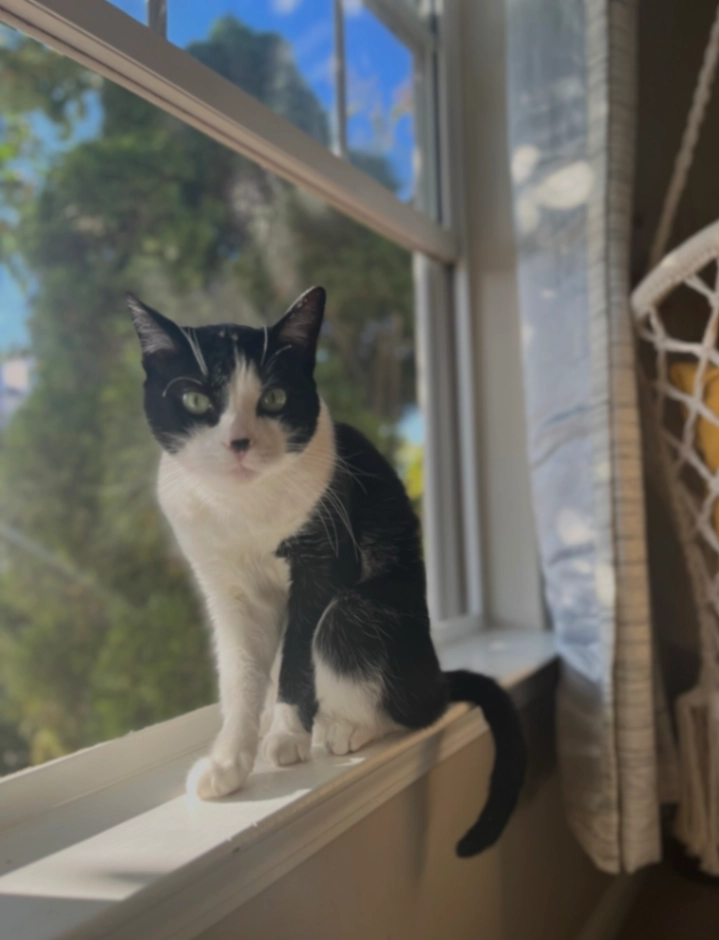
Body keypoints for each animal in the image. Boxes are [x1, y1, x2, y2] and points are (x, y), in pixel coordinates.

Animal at [127, 285, 526, 856]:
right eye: (197, 401)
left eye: (273, 398)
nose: (239, 442)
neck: (244, 507)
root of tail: (433, 673)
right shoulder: (225, 582)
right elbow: (240, 673)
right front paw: (229, 760)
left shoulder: (324, 560)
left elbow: (299, 652)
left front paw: (289, 735)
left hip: (369, 613)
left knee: (384, 674)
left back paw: (343, 727)